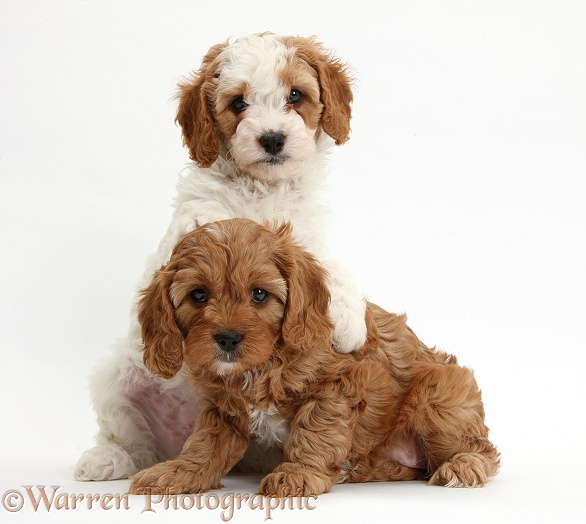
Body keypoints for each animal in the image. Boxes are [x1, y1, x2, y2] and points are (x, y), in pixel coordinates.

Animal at [73, 32, 364, 482]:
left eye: (296, 96)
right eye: (238, 104)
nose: (272, 138)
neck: (261, 188)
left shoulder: (302, 238)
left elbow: (327, 266)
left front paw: (350, 317)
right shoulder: (180, 234)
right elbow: (199, 223)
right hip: (116, 377)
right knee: (129, 441)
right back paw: (106, 459)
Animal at [128, 218, 498, 496]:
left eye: (259, 294)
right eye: (198, 295)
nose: (228, 338)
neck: (263, 364)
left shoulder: (337, 386)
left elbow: (314, 432)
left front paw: (299, 473)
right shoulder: (223, 409)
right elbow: (205, 444)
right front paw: (178, 472)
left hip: (440, 394)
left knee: (481, 449)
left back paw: (462, 464)